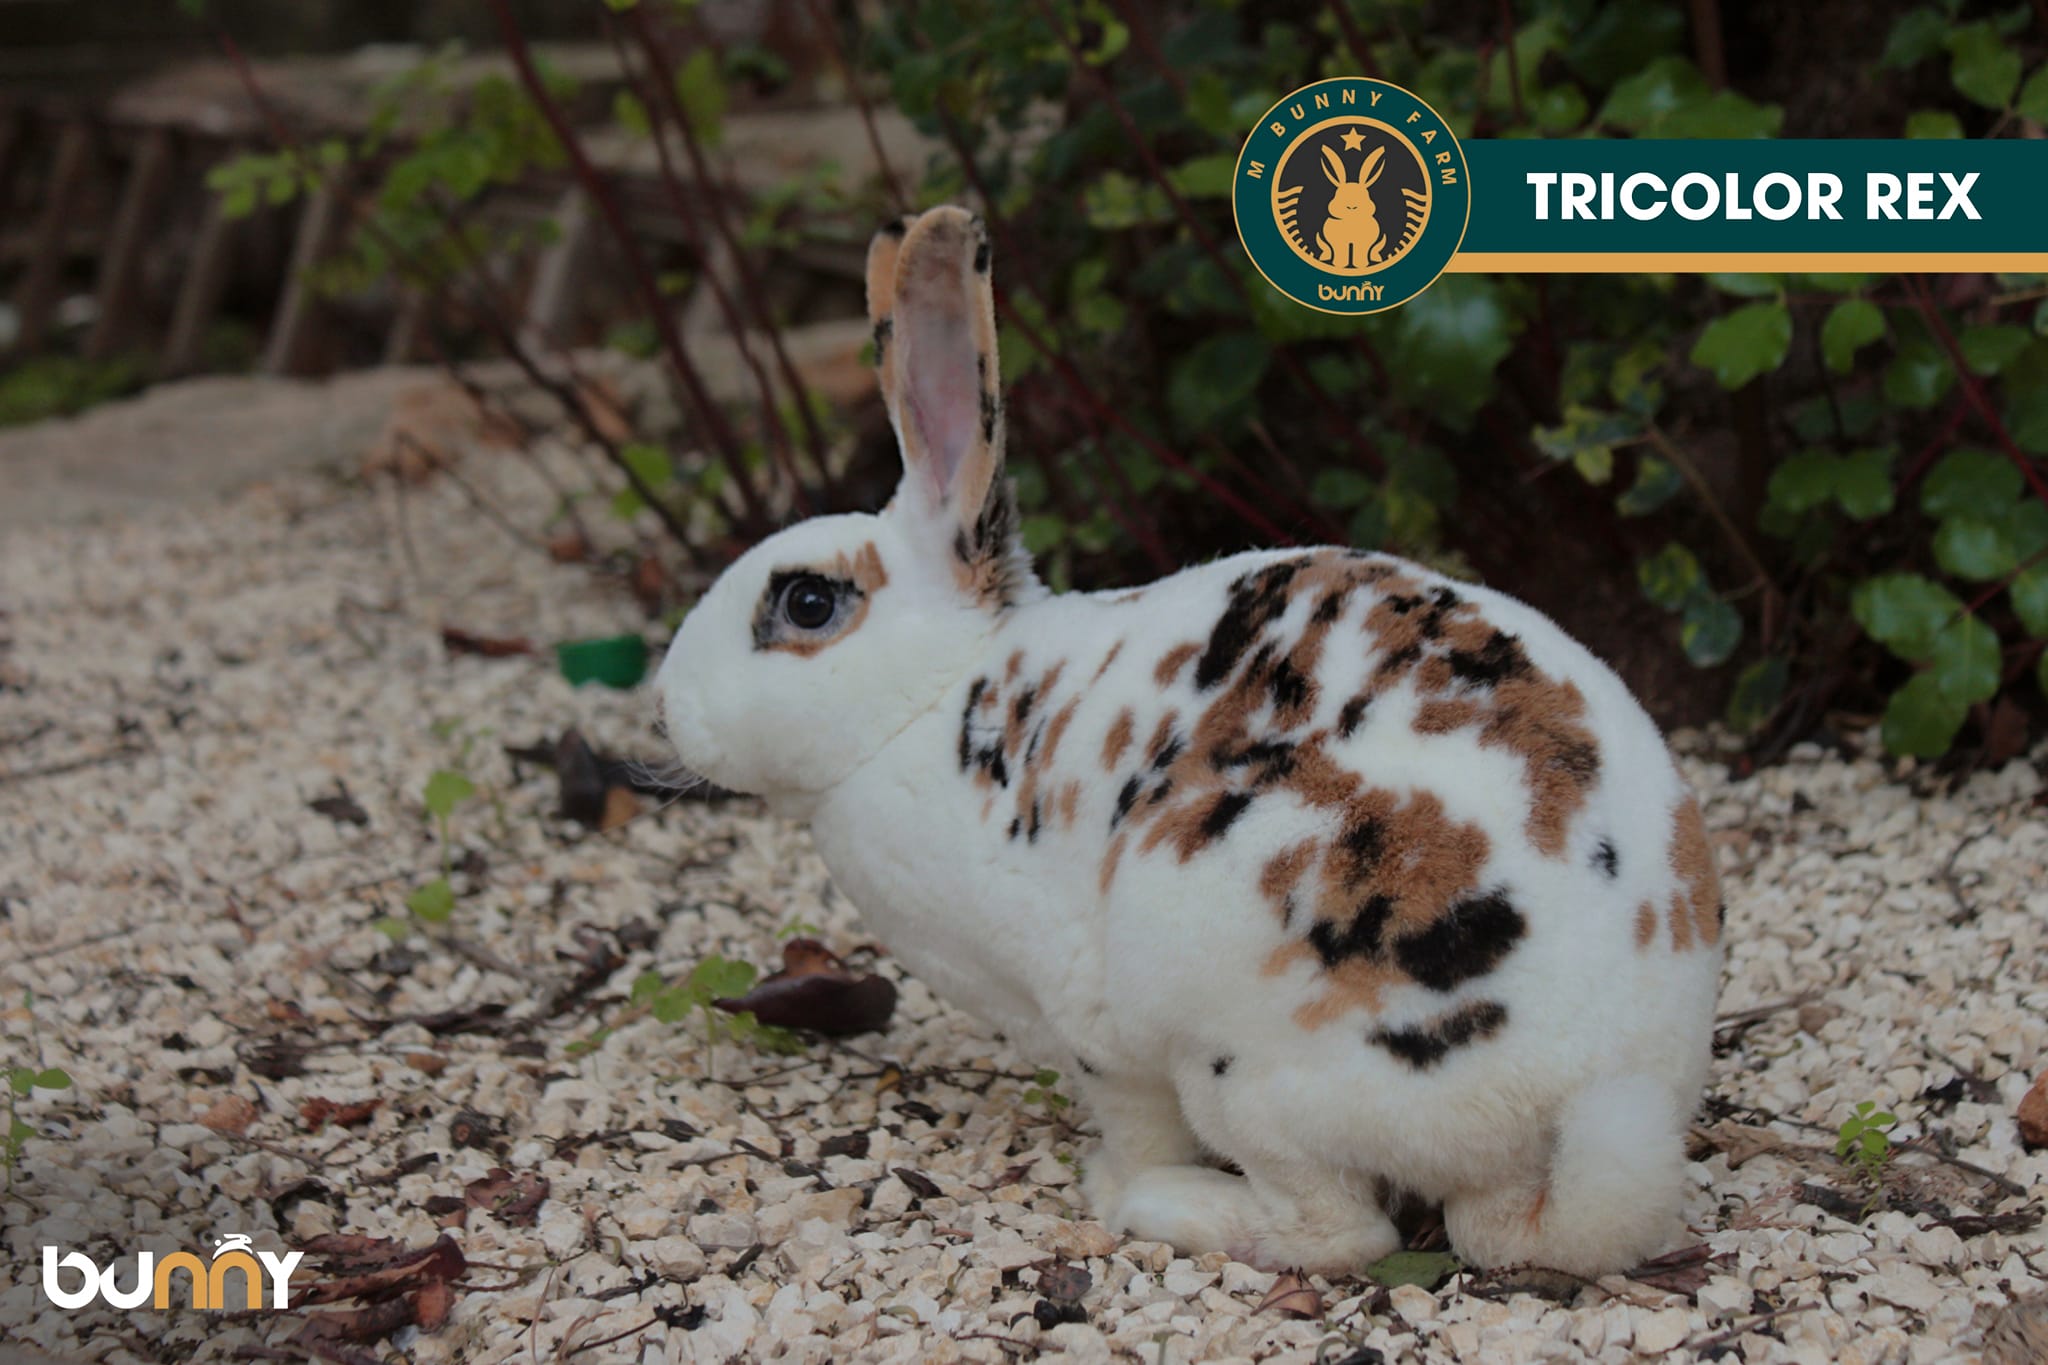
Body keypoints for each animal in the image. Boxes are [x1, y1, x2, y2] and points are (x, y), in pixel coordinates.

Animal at [655, 205, 1724, 1277]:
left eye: (807, 602)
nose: (663, 704)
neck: (929, 700)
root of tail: (1583, 1095)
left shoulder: (1090, 1026)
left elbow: (1134, 1119)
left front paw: (1116, 1176)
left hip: (1240, 1067)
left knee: (1343, 1228)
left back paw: (1164, 1204)